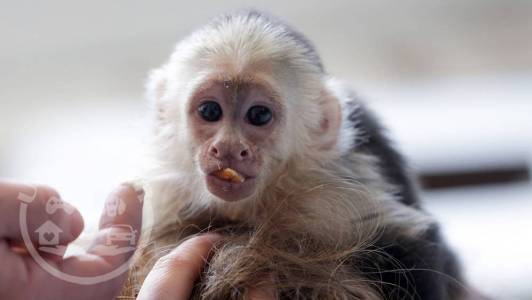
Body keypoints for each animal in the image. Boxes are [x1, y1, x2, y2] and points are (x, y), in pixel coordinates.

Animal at [122, 9, 468, 300]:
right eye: (210, 111)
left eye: (259, 115)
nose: (229, 147)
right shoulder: (169, 194)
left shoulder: (325, 194)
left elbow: (412, 246)